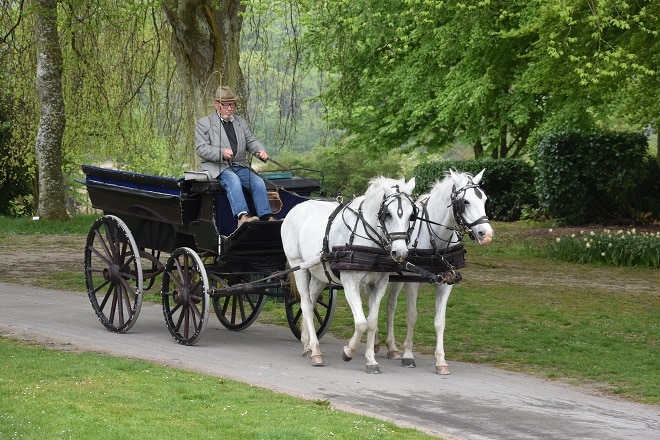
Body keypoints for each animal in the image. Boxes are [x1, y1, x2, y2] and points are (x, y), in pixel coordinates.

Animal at [282, 175, 416, 372]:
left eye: (411, 215)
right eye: (388, 214)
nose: (400, 252)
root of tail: (296, 207)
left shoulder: (379, 284)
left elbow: (372, 322)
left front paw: (371, 360)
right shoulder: (350, 283)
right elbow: (361, 323)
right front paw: (348, 352)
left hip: (319, 273)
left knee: (312, 302)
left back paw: (307, 344)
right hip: (298, 265)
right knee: (305, 305)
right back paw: (316, 352)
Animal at [384, 168, 492, 374]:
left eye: (484, 200)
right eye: (465, 202)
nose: (487, 235)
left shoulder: (446, 283)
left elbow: (440, 321)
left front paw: (441, 361)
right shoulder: (412, 282)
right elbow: (412, 316)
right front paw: (408, 355)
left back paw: (390, 347)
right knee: (389, 306)